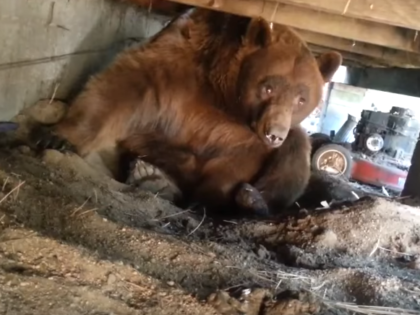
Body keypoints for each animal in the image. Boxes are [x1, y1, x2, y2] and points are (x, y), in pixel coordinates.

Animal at [32, 9, 342, 217]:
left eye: (301, 98)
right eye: (267, 87)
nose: (274, 133)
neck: (224, 93)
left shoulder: (244, 137)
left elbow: (240, 162)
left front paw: (213, 199)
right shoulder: (181, 62)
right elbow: (123, 85)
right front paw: (57, 136)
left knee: (297, 148)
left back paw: (253, 199)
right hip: (160, 145)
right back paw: (151, 175)